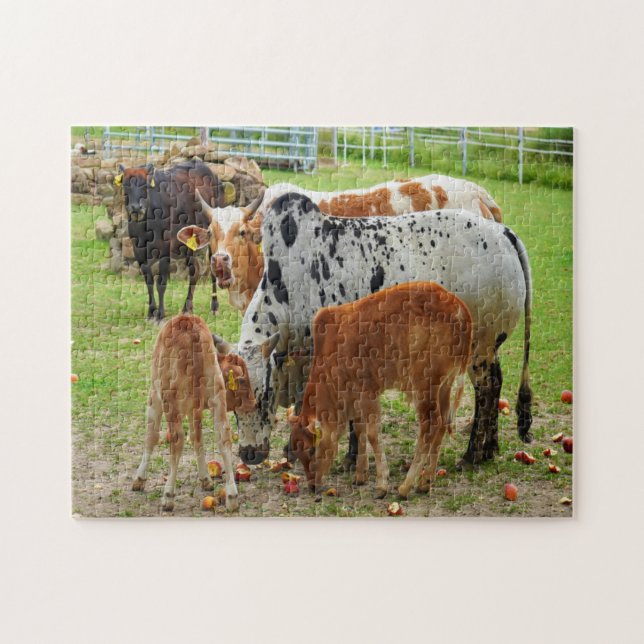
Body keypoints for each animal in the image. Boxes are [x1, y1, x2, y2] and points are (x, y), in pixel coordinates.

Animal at [116, 160, 224, 320]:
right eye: (125, 185)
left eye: (145, 185)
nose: (136, 207)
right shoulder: (139, 250)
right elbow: (149, 281)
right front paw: (151, 311)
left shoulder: (165, 250)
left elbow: (161, 283)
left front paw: (160, 313)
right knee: (195, 271)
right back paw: (187, 307)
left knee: (212, 269)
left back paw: (214, 306)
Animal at [131, 315, 239, 511]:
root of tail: (191, 326)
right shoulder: (196, 407)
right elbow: (197, 436)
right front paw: (205, 479)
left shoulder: (154, 395)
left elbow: (151, 435)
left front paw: (139, 480)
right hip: (216, 390)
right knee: (224, 435)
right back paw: (232, 497)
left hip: (170, 396)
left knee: (178, 439)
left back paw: (168, 496)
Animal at [234, 193, 532, 468]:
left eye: (264, 396)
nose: (249, 454)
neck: (289, 286)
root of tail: (502, 233)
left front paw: (348, 457)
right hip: (488, 348)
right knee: (496, 383)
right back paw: (490, 449)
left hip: (479, 346)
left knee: (486, 388)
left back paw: (472, 455)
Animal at [288, 282, 472, 499]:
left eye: (310, 449)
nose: (313, 485)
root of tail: (459, 307)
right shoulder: (355, 397)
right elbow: (359, 430)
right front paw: (360, 476)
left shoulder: (369, 393)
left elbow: (372, 434)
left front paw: (381, 484)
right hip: (444, 386)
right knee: (443, 423)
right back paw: (426, 481)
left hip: (424, 385)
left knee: (431, 425)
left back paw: (405, 486)